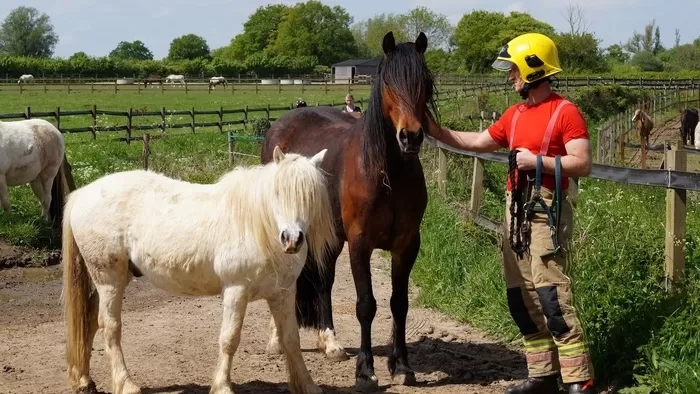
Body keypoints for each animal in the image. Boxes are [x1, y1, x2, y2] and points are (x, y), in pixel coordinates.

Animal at [61, 145, 334, 394]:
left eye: (310, 196)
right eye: (277, 193)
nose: (292, 239)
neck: (258, 227)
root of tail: (82, 194)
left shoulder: (283, 293)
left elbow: (291, 339)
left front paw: (308, 386)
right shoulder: (236, 291)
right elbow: (229, 339)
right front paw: (222, 387)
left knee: (89, 322)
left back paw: (84, 381)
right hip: (109, 279)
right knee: (110, 327)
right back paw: (126, 384)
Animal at [260, 32, 440, 392]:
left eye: (425, 82)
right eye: (388, 83)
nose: (410, 136)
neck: (387, 173)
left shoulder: (406, 245)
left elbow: (399, 303)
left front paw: (401, 366)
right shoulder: (360, 244)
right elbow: (366, 305)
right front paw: (366, 372)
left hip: (329, 238)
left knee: (324, 282)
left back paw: (329, 342)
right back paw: (276, 341)